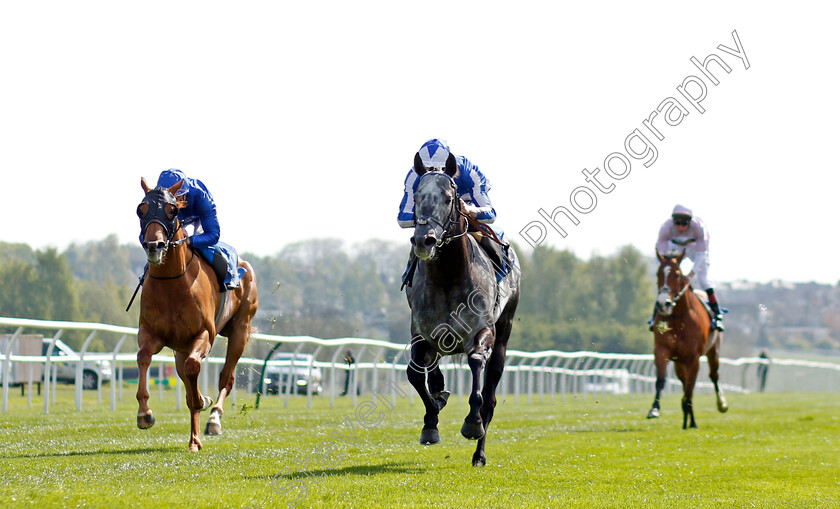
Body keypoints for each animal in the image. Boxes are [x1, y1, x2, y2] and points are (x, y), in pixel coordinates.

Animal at [135, 177, 258, 450]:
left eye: (172, 211)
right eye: (141, 209)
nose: (154, 245)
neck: (172, 284)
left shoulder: (204, 334)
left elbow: (194, 369)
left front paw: (200, 416)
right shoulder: (151, 334)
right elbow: (143, 358)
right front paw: (145, 413)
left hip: (240, 330)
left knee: (226, 378)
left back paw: (212, 421)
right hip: (180, 347)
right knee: (185, 375)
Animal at [406, 150, 520, 464]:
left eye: (448, 198)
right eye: (416, 196)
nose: (425, 241)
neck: (447, 276)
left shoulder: (482, 331)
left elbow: (477, 364)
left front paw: (472, 422)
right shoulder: (421, 334)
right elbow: (414, 374)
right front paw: (431, 421)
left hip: (504, 333)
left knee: (490, 396)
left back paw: (479, 454)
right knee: (432, 369)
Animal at [648, 252, 724, 426]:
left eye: (677, 275)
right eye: (658, 273)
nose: (663, 303)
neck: (678, 318)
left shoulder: (693, 358)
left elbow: (690, 388)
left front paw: (691, 420)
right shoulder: (662, 350)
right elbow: (661, 380)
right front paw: (654, 409)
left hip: (713, 351)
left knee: (713, 376)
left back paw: (720, 405)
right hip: (679, 363)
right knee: (685, 384)